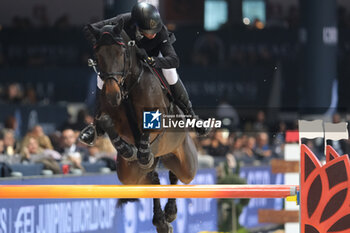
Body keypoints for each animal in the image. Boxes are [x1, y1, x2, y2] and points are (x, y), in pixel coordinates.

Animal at [86, 20, 198, 233]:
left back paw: (169, 213)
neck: (127, 88)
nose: (112, 96)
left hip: (186, 163)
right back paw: (161, 220)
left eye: (121, 54)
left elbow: (147, 127)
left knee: (176, 176)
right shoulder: (110, 118)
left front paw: (143, 152)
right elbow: (106, 122)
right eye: (98, 56)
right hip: (128, 175)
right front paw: (128, 149)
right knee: (153, 180)